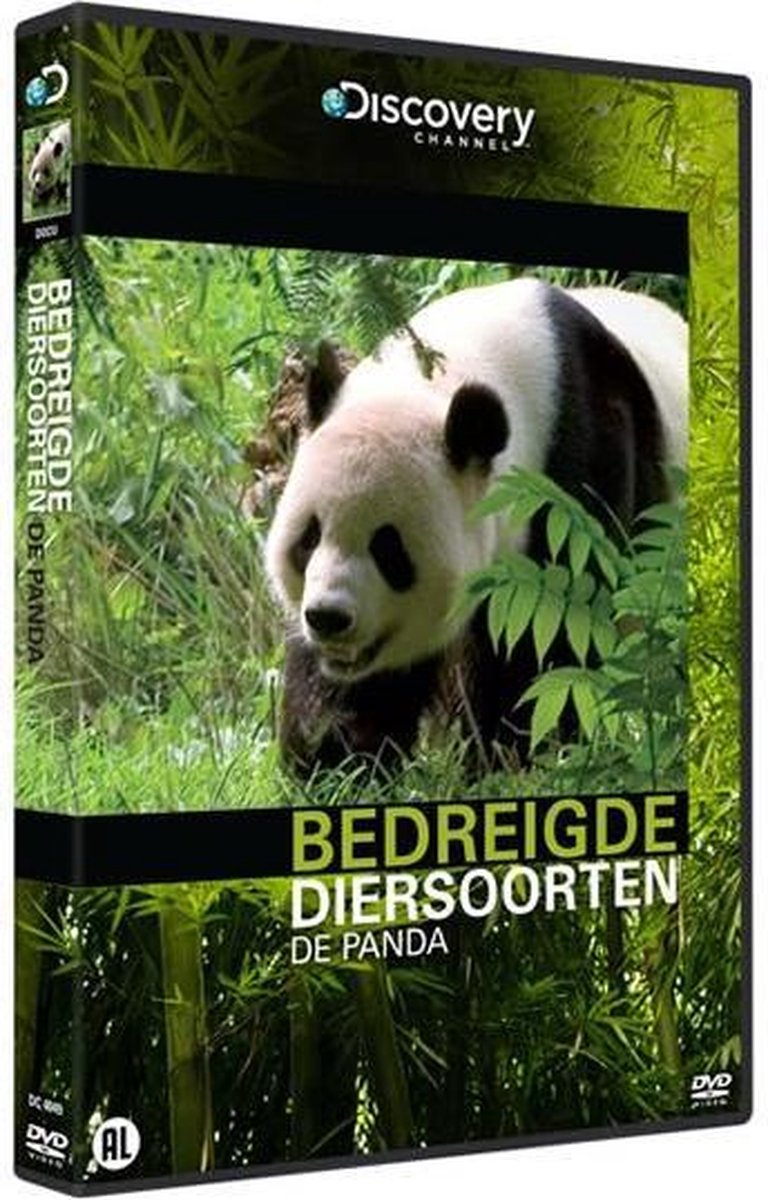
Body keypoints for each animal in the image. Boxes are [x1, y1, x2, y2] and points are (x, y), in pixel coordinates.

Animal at [265, 277, 687, 775]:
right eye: (309, 538)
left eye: (389, 549)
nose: (329, 618)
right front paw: (337, 757)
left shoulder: (580, 466)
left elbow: (552, 629)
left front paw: (516, 755)